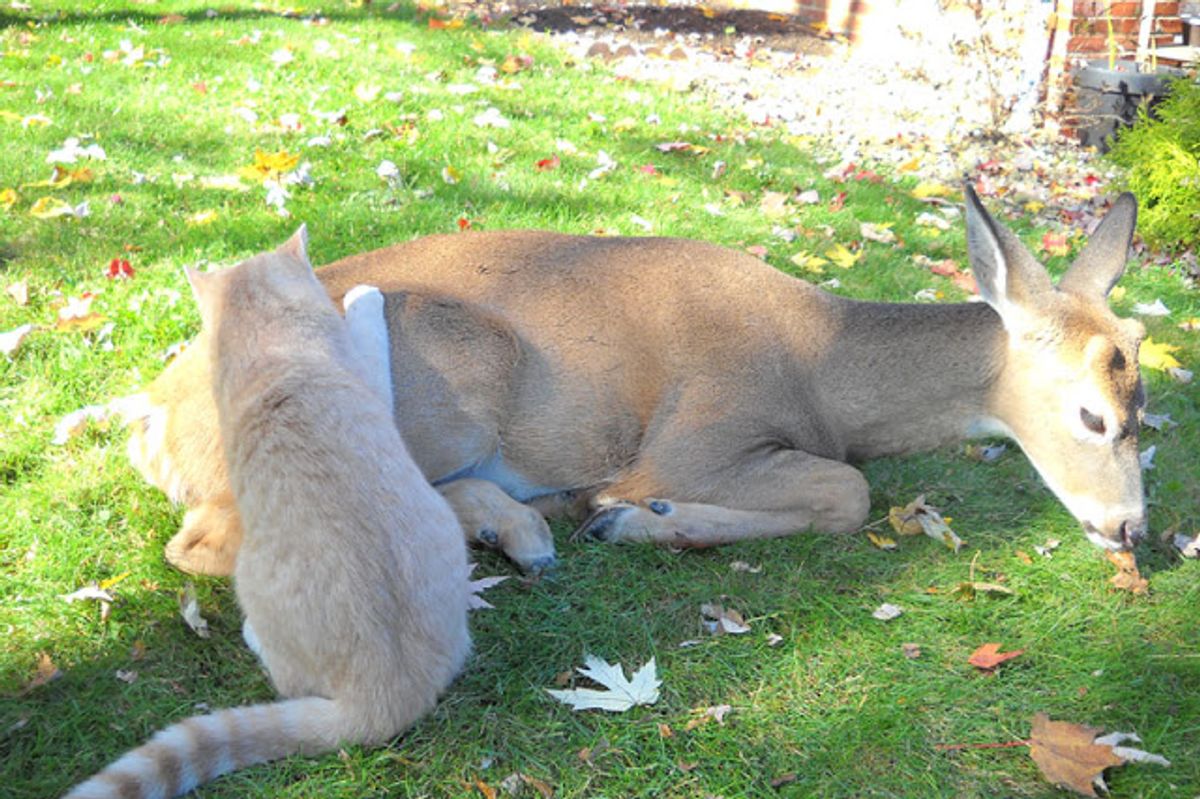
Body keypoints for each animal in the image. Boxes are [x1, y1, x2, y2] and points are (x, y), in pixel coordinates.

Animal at [118, 184, 1147, 575]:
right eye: (1093, 416)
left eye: (1145, 403)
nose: (1133, 528)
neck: (824, 366)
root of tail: (152, 419)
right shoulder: (697, 435)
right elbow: (848, 491)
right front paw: (636, 516)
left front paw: (613, 514)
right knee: (209, 538)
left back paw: (522, 527)